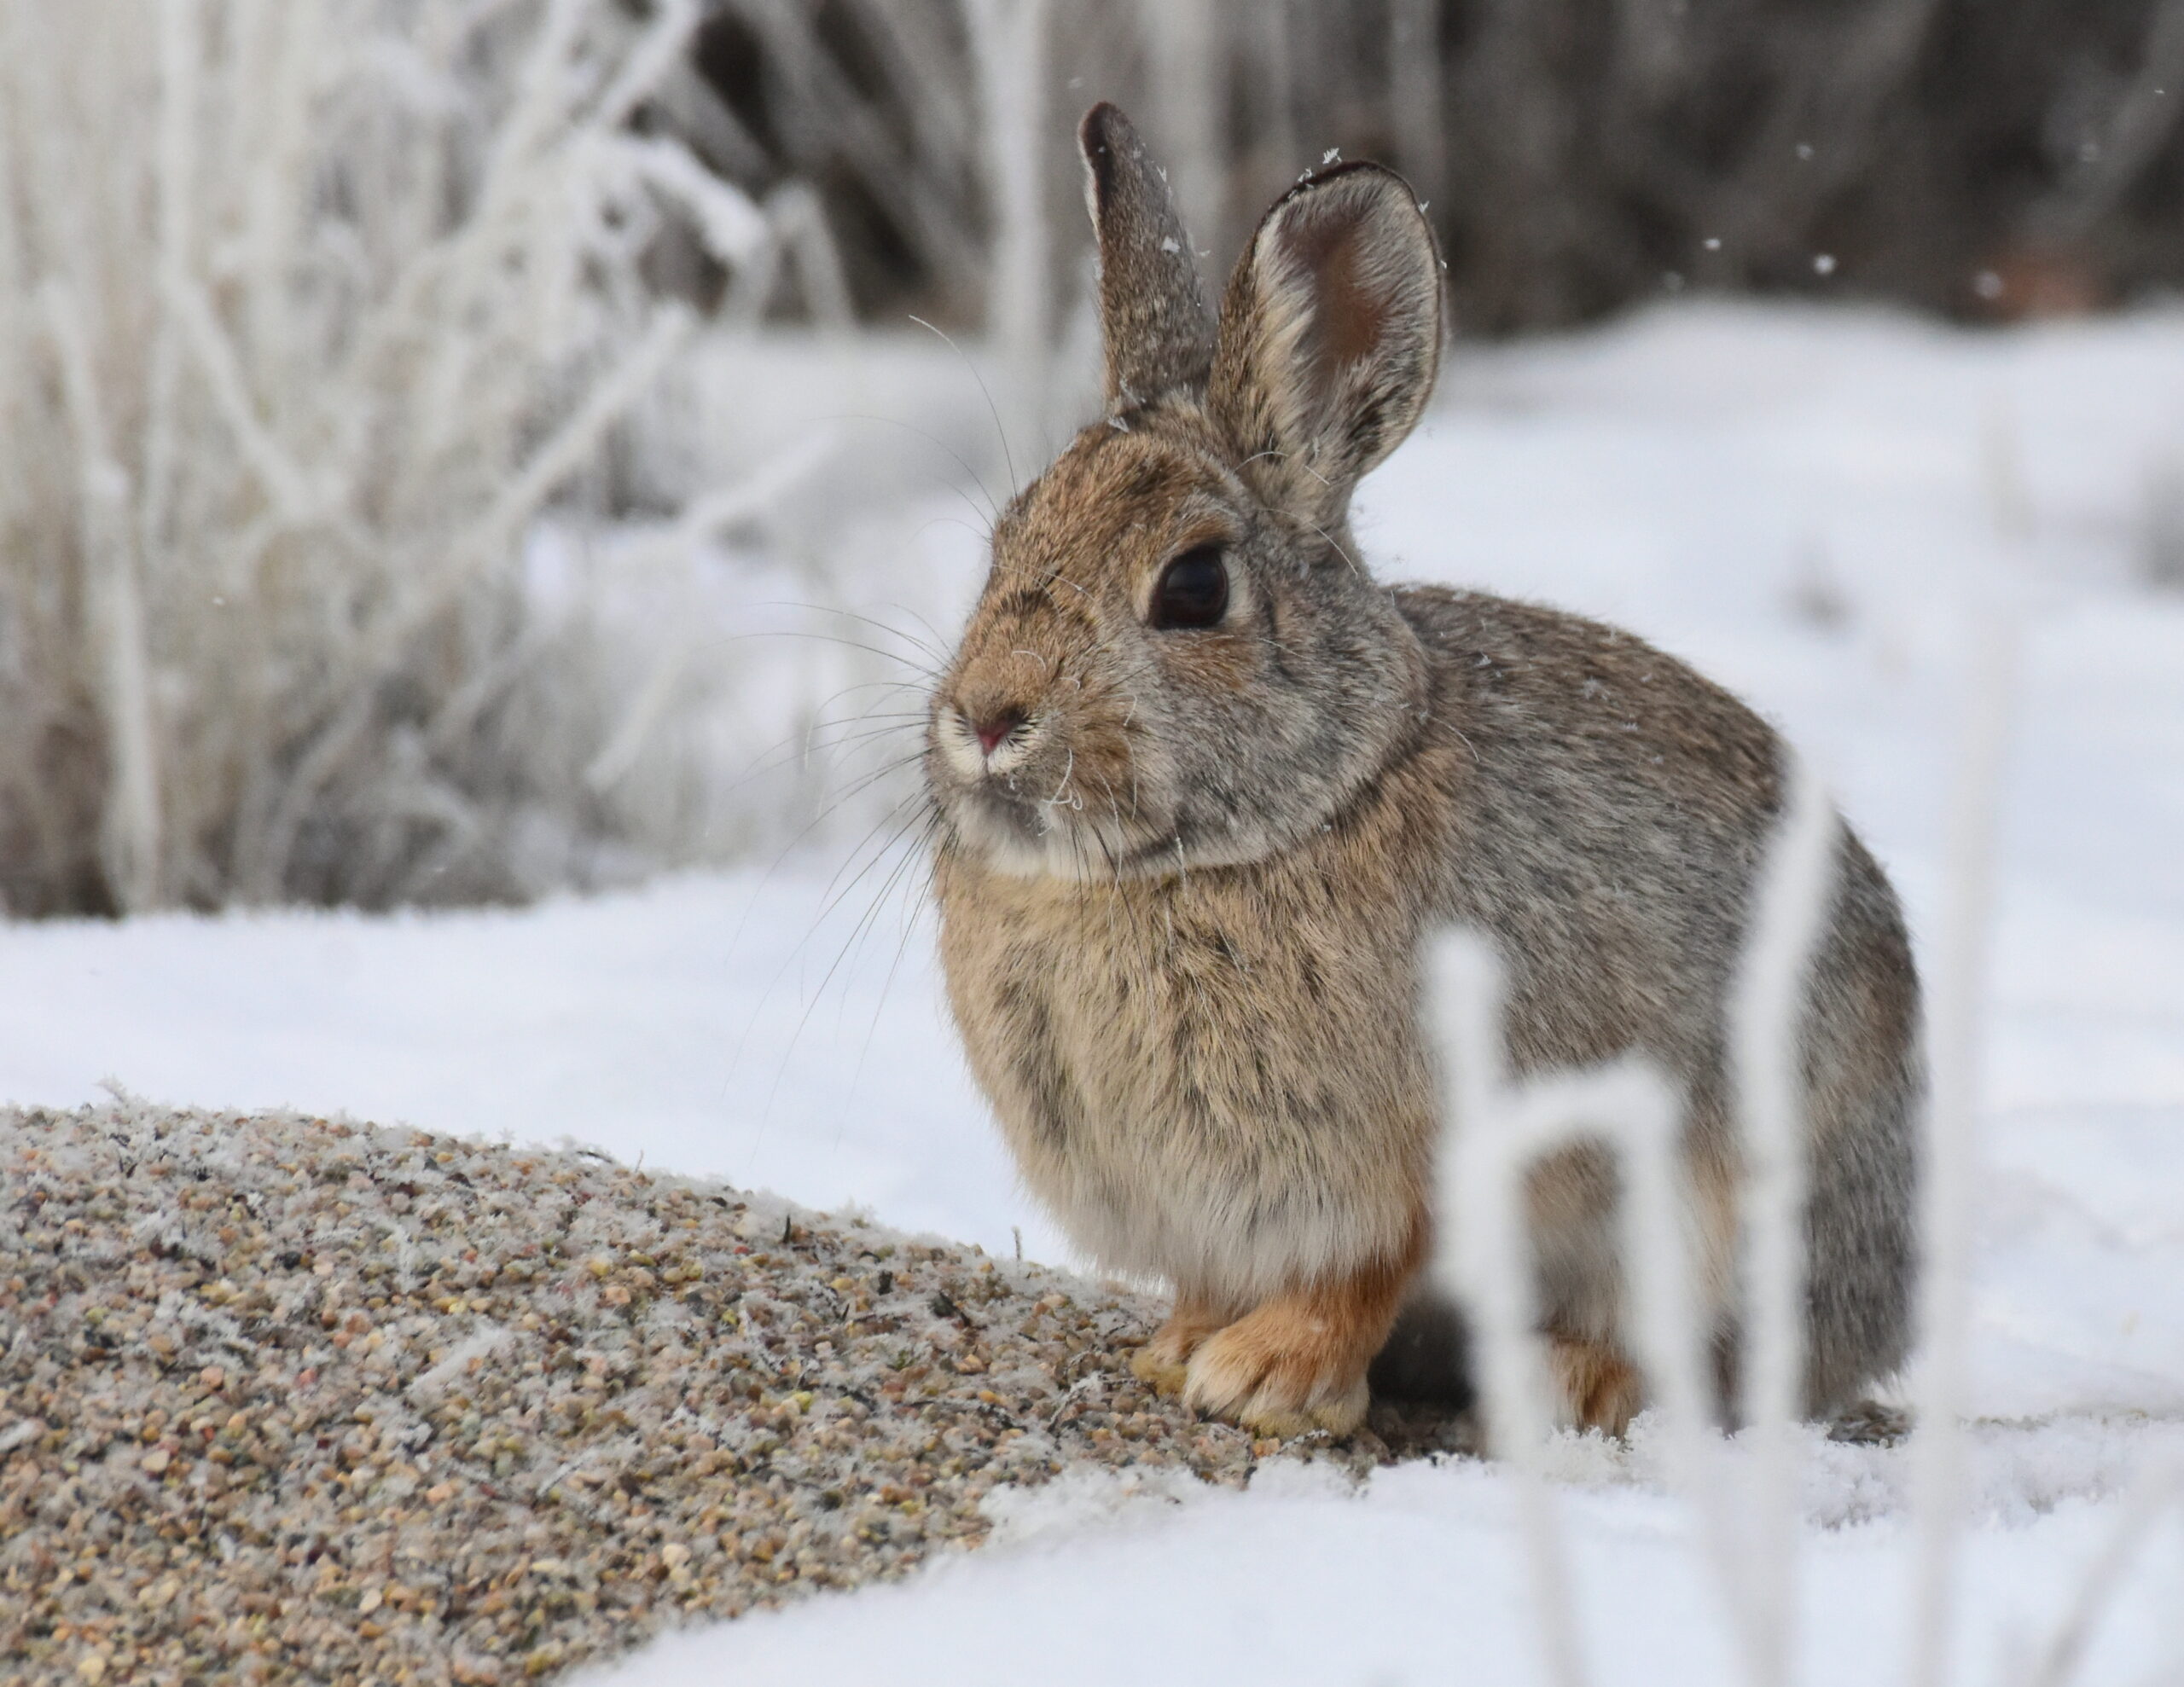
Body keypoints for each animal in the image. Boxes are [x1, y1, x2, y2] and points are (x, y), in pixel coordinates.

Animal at [917, 101, 1913, 1431]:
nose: (987, 716)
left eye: (1195, 587)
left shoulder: (1410, 1161)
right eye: (1006, 541)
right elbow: (1211, 1281)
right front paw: (1179, 1350)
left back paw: (1564, 1377)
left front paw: (1265, 1378)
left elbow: (1368, 1268)